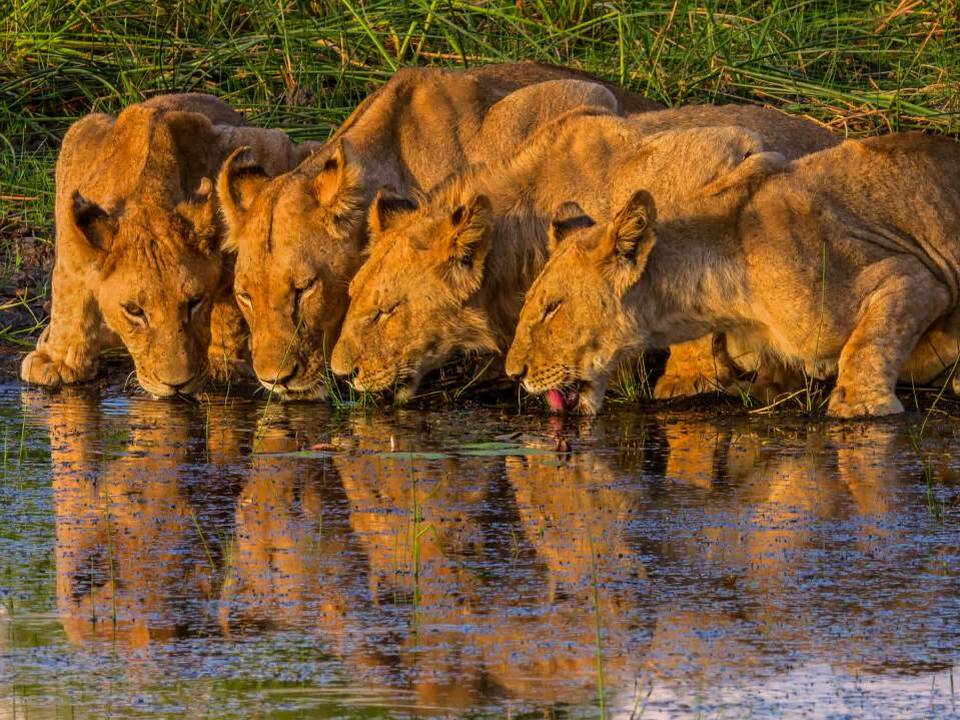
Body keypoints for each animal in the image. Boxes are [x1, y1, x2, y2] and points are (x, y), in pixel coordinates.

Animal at [21, 93, 316, 396]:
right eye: (134, 311)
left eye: (194, 302)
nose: (176, 385)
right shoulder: (77, 151)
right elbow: (68, 291)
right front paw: (58, 361)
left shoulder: (266, 146)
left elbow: (231, 302)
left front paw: (222, 362)